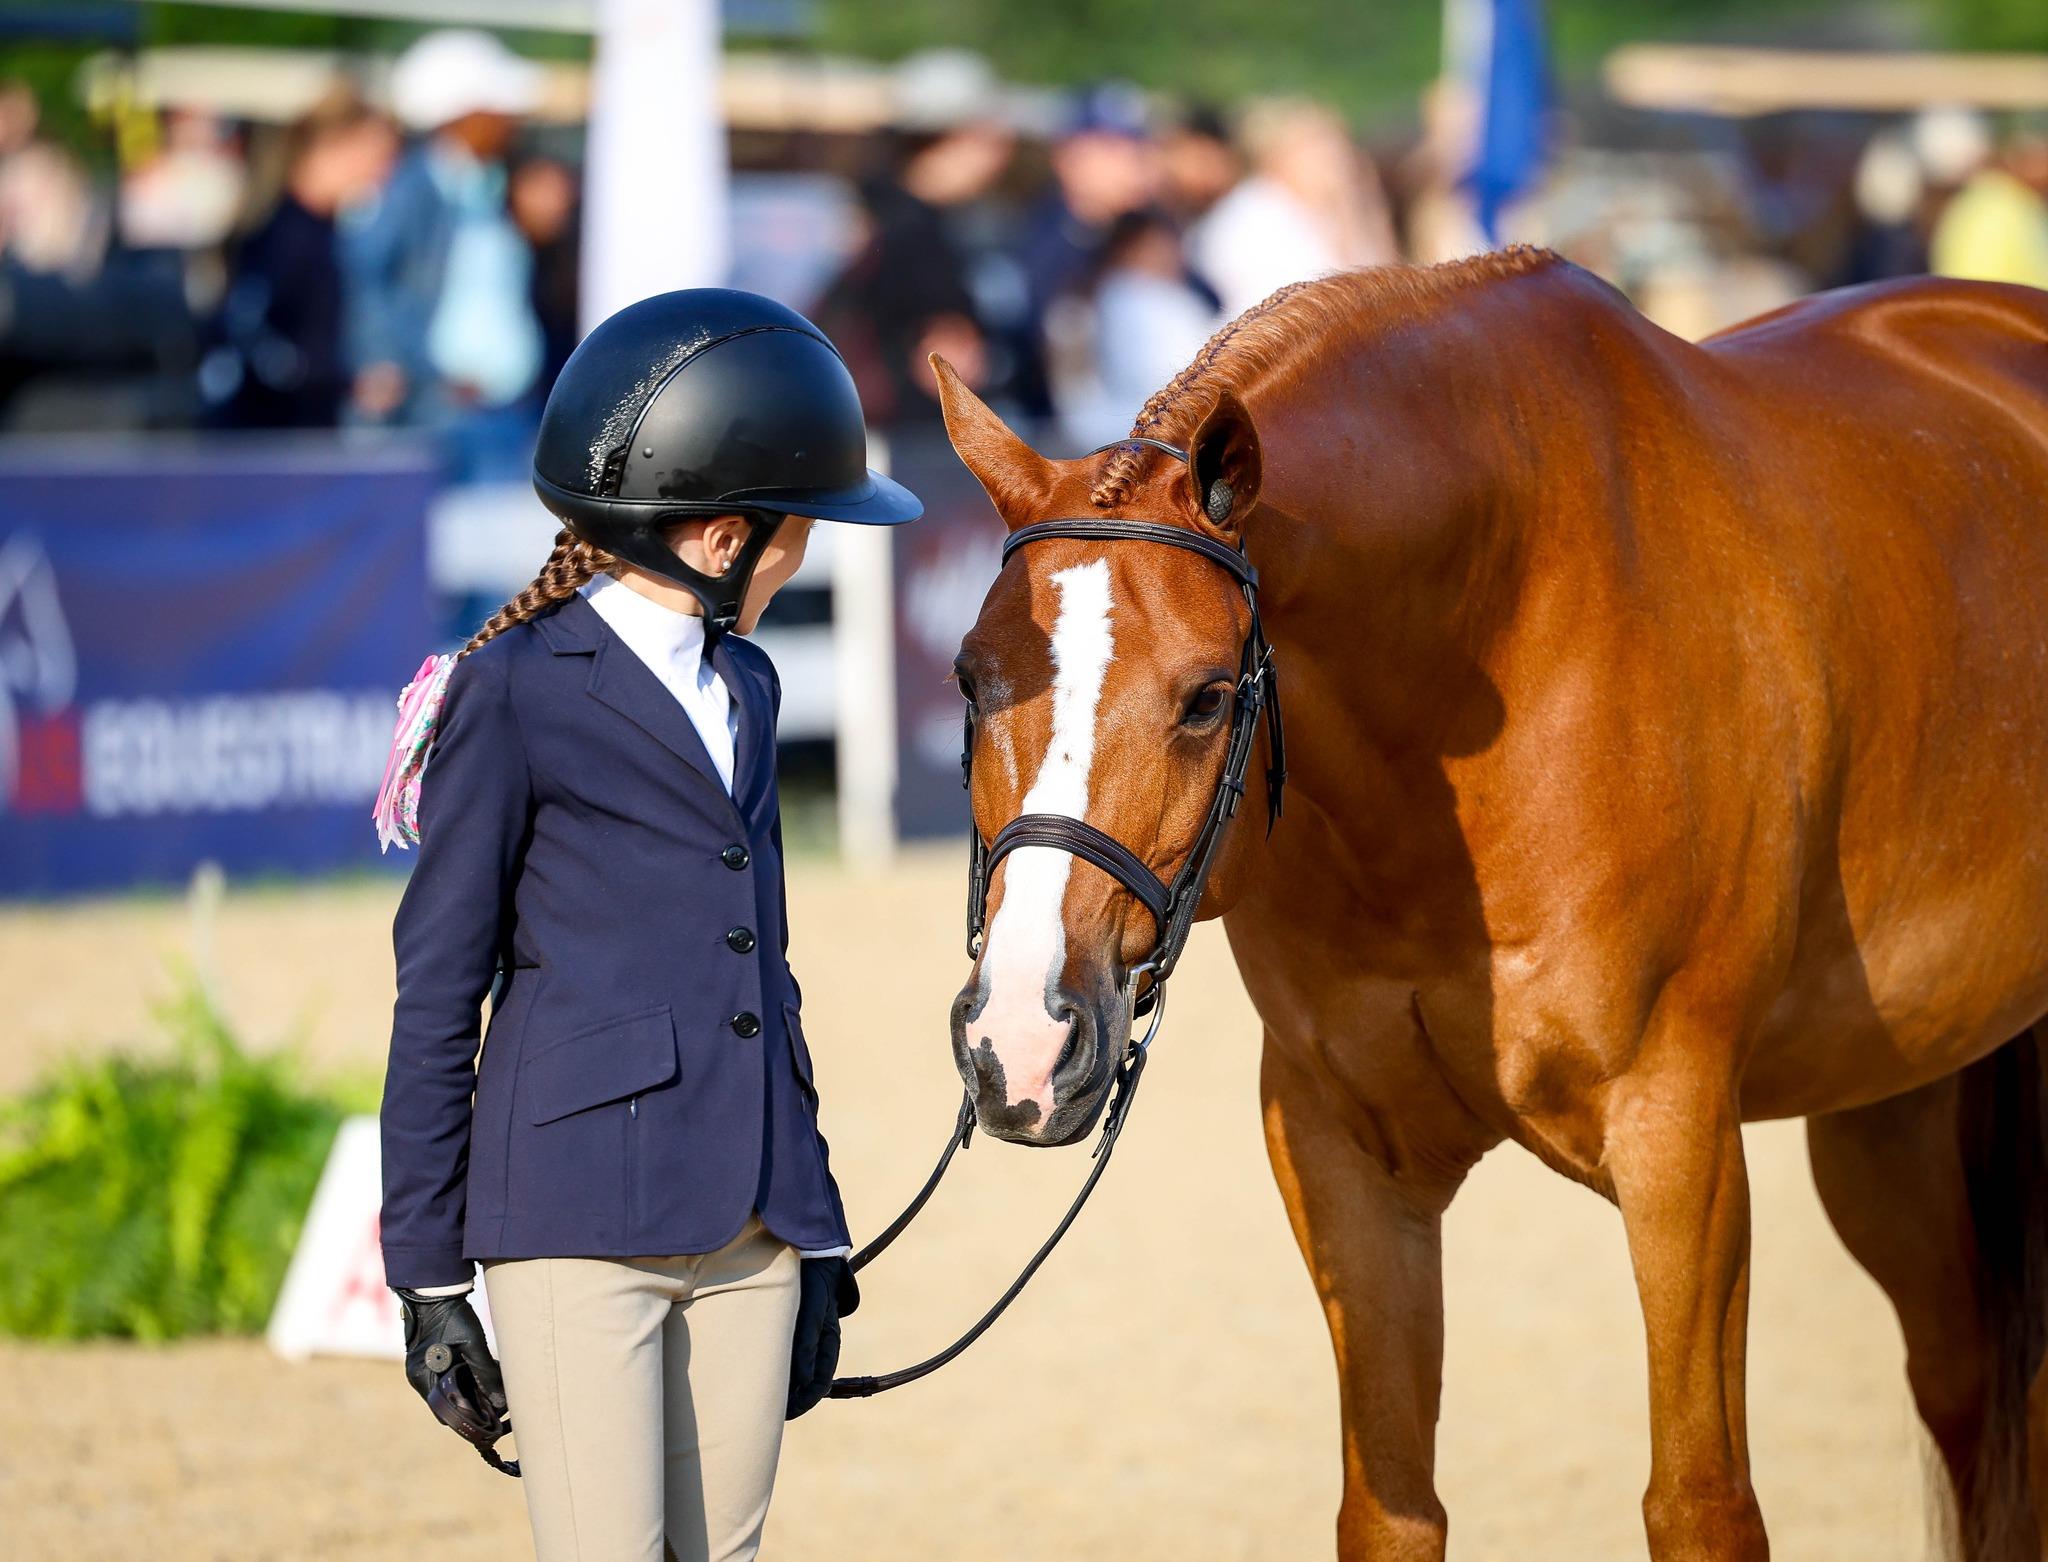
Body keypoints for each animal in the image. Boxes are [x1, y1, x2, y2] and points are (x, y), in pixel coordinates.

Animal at [930, 248, 2048, 1560]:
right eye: (970, 678)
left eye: (1205, 696)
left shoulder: (1679, 1148)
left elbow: (1699, 1503)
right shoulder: (1342, 1152)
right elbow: (1390, 1505)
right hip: (1891, 1110)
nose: (1020, 1038)